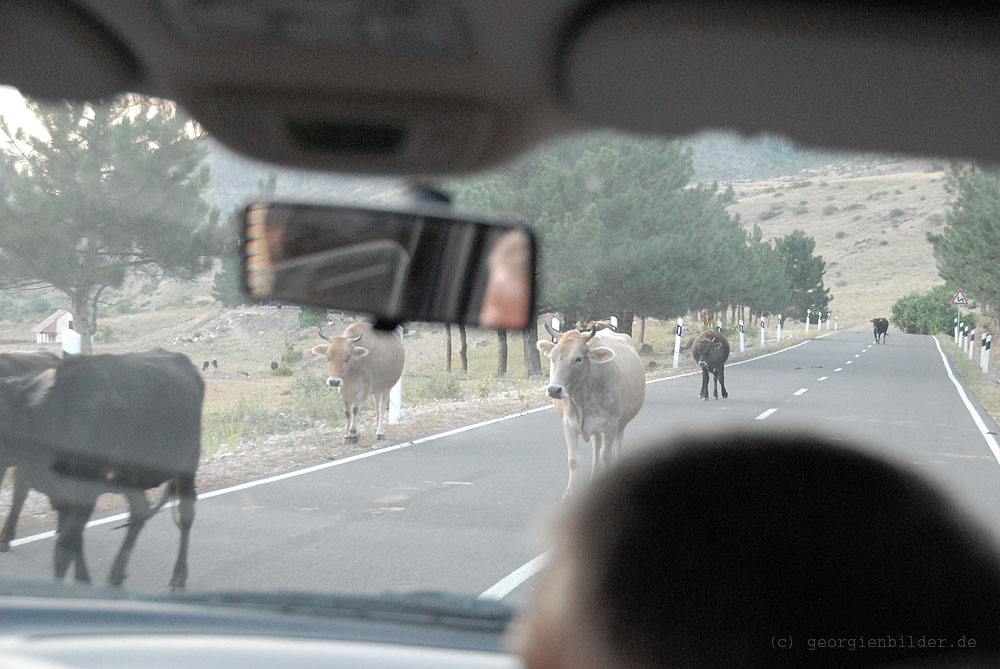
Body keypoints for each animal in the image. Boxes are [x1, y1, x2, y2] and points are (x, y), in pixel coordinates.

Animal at [536, 320, 644, 498]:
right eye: (552, 357)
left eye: (578, 358)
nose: (554, 390)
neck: (582, 399)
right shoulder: (568, 423)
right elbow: (573, 460)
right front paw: (569, 493)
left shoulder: (611, 423)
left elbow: (607, 456)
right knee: (596, 445)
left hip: (621, 424)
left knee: (616, 446)